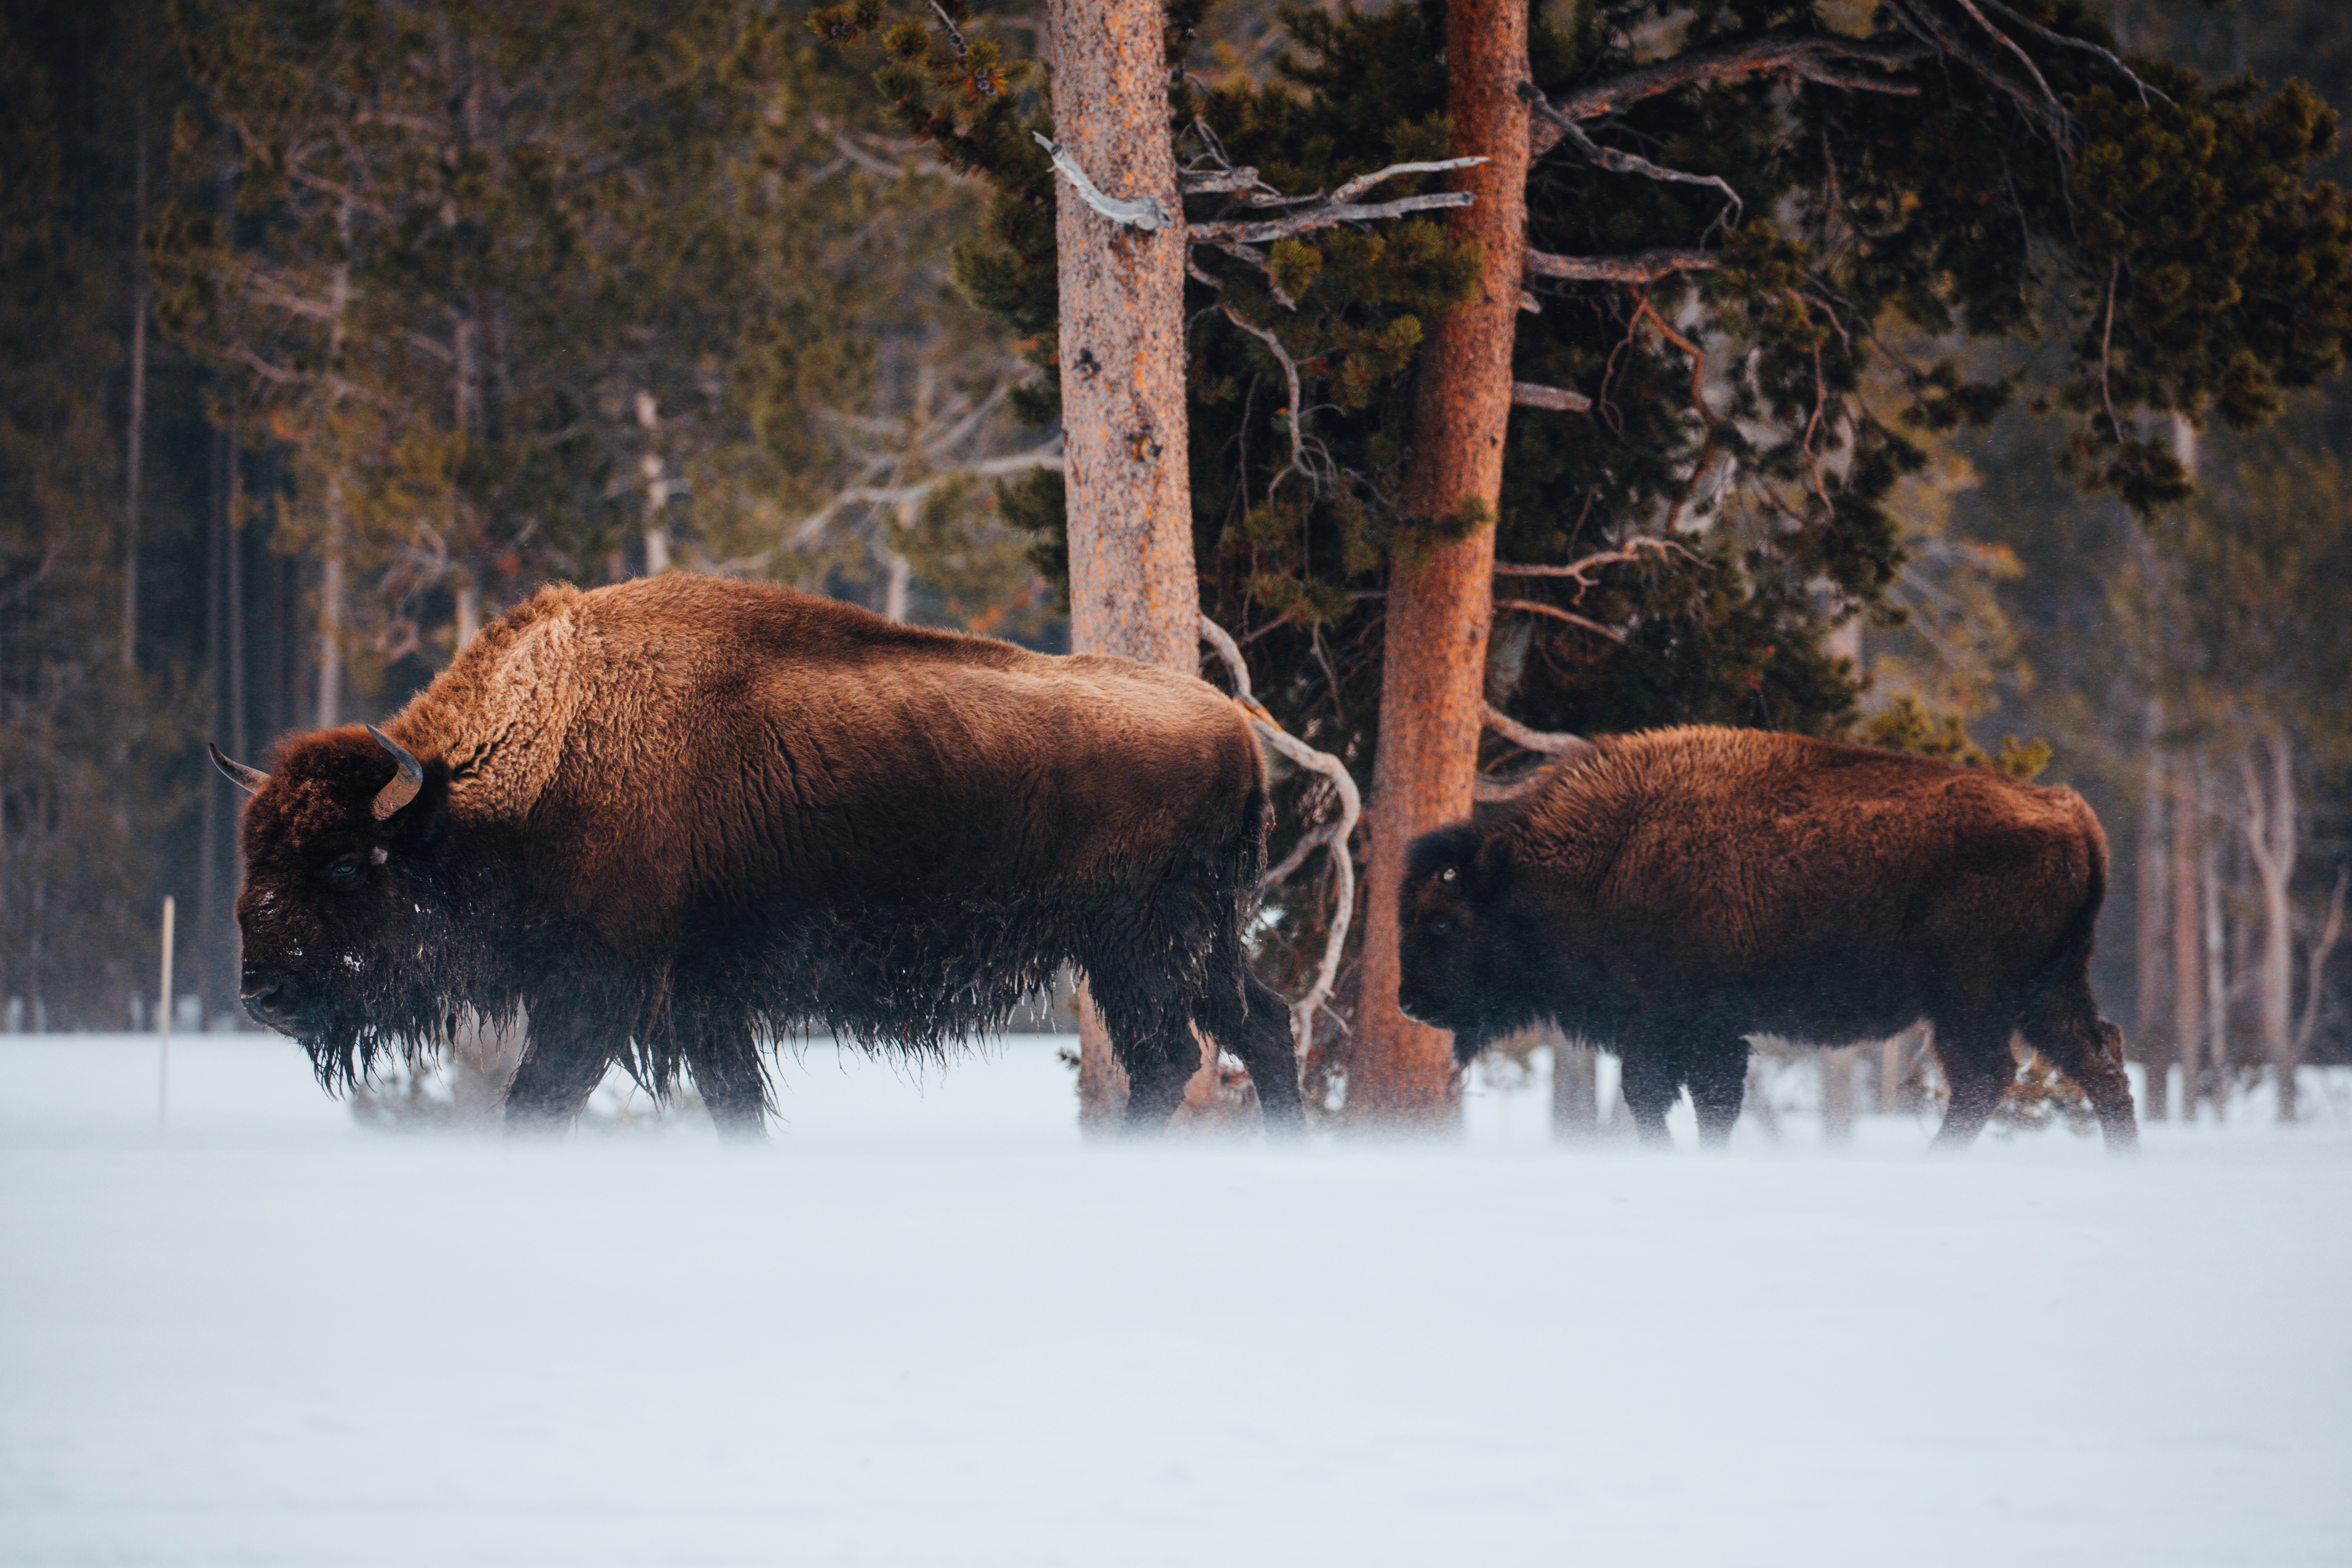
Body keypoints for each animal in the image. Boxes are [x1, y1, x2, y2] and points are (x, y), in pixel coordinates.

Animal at [212, 575, 1299, 1134]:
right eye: (255, 854)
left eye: (344, 864)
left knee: (1168, 1056)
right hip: (1194, 945)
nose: (261, 991)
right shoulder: (699, 998)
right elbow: (731, 1095)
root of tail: (1234, 724)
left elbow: (541, 1095)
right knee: (1260, 1024)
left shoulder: (600, 989)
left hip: (1137, 947)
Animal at [1397, 725, 2138, 1149]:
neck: (1610, 855)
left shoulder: (1673, 1025)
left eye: (1441, 918)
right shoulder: (1704, 1034)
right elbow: (1709, 1102)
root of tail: (2069, 813)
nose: (1409, 1002)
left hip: (1969, 999)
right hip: (2047, 992)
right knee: (2100, 1062)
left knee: (1988, 1076)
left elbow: (1658, 1097)